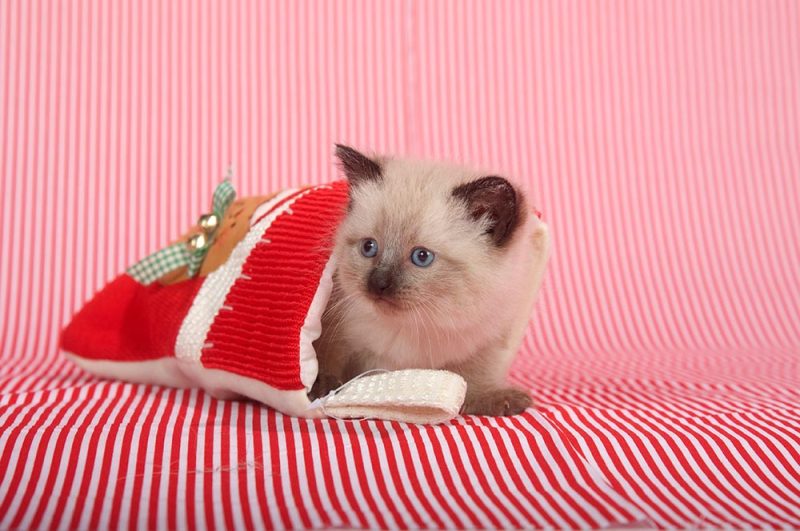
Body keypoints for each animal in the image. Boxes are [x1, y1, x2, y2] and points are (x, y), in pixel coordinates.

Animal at [312, 144, 552, 416]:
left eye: (422, 257)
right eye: (369, 247)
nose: (378, 284)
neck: (423, 323)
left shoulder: (491, 337)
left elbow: (474, 378)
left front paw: (498, 399)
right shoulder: (335, 329)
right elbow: (328, 359)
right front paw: (323, 386)